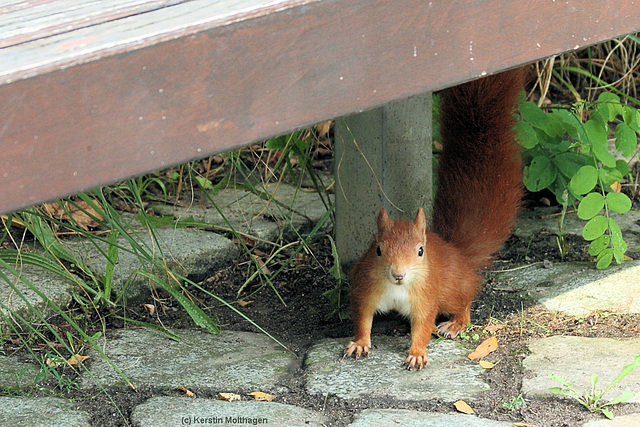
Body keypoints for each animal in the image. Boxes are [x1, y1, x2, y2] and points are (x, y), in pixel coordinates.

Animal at [342, 68, 524, 370]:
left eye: (420, 251)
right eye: (377, 250)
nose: (399, 274)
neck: (397, 289)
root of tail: (457, 253)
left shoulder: (426, 297)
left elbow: (423, 326)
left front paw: (416, 353)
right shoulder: (365, 289)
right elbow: (362, 319)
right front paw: (359, 342)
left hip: (449, 290)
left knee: (465, 299)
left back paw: (456, 323)